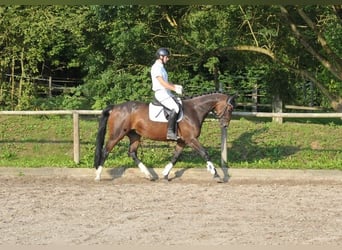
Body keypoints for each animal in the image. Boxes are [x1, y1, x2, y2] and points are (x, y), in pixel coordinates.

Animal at [95, 92, 236, 182]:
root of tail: (115, 107)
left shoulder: (182, 141)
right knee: (105, 151)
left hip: (134, 135)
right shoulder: (191, 139)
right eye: (230, 109)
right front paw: (216, 174)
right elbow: (204, 153)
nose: (225, 125)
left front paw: (165, 174)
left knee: (132, 153)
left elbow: (175, 157)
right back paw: (98, 176)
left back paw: (149, 175)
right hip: (117, 134)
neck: (195, 110)